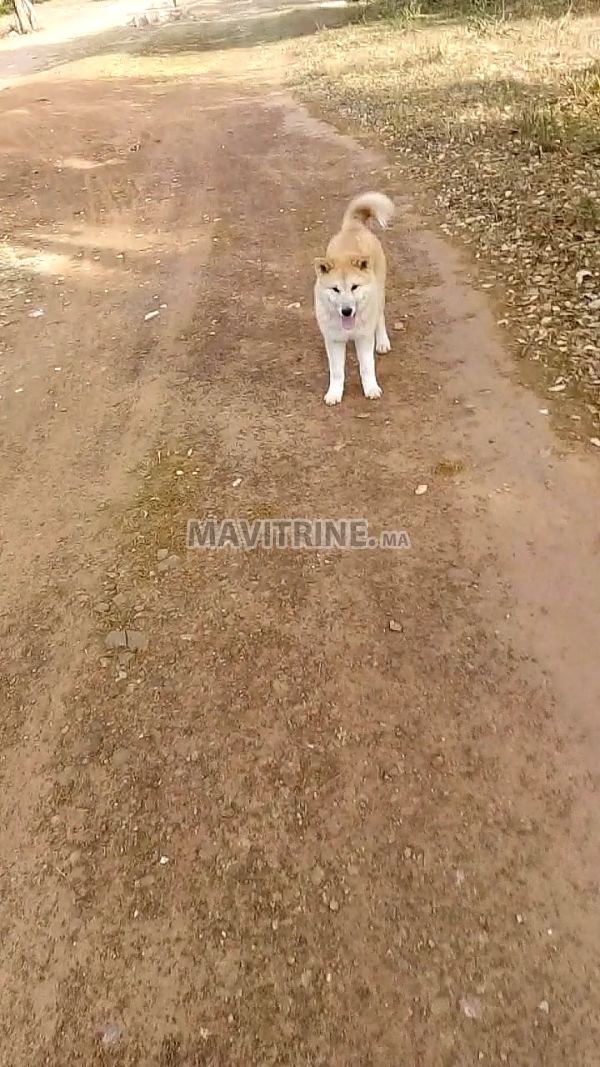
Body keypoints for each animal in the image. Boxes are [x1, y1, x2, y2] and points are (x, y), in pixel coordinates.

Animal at [313, 189, 392, 405]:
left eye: (354, 287)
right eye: (335, 289)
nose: (347, 311)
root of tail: (353, 226)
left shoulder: (364, 338)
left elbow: (366, 367)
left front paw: (371, 388)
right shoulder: (333, 341)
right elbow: (337, 372)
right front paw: (334, 393)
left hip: (380, 294)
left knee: (380, 318)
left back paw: (383, 342)